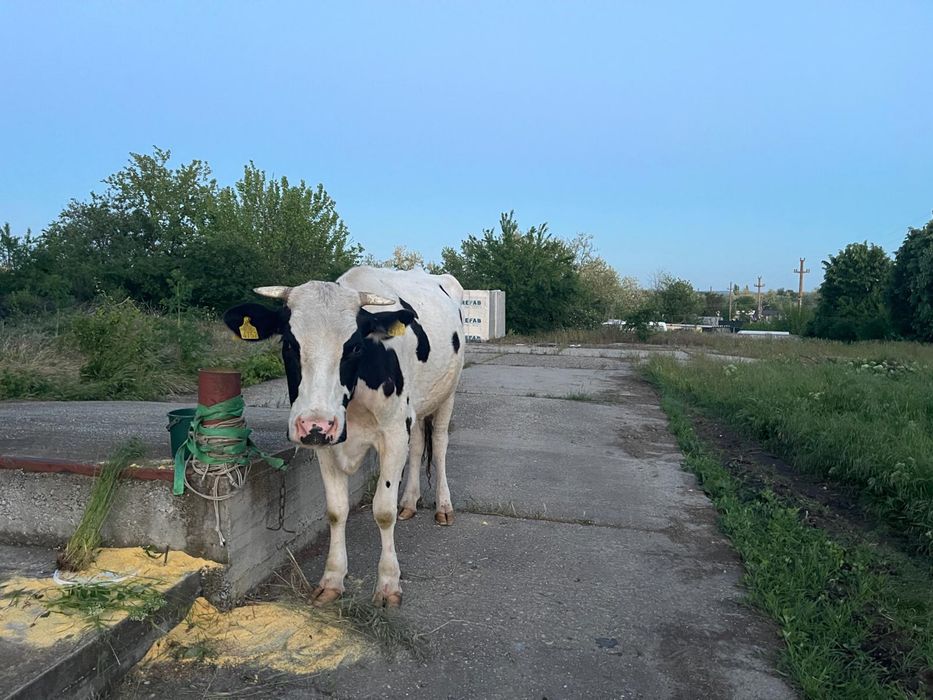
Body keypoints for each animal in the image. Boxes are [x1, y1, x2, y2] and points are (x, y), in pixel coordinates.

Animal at [223, 267, 465, 607]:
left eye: (354, 347)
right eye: (288, 344)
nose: (314, 423)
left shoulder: (393, 433)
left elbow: (383, 511)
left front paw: (388, 583)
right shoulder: (325, 442)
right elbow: (336, 511)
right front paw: (332, 579)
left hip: (448, 394)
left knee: (440, 445)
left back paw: (443, 506)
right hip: (415, 410)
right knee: (418, 445)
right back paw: (409, 502)